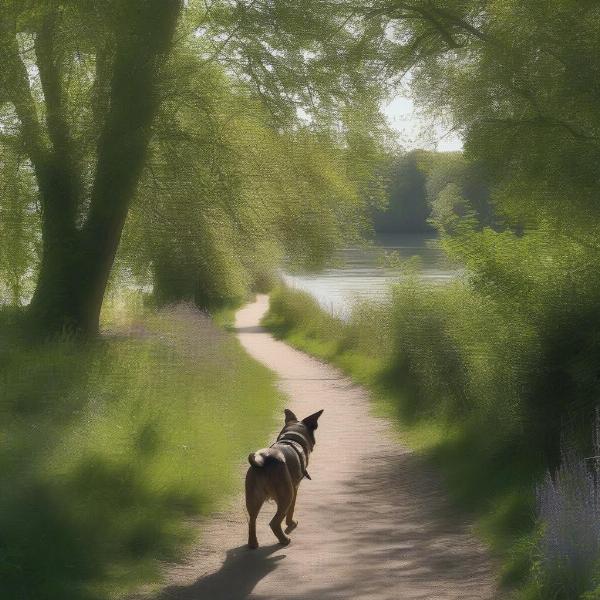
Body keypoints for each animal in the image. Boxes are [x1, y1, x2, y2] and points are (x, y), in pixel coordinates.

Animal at [245, 408, 324, 548]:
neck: (291, 439)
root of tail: (263, 460)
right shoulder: (295, 488)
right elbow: (291, 509)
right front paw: (290, 523)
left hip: (253, 499)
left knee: (252, 521)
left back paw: (253, 544)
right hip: (286, 495)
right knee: (274, 523)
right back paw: (284, 540)